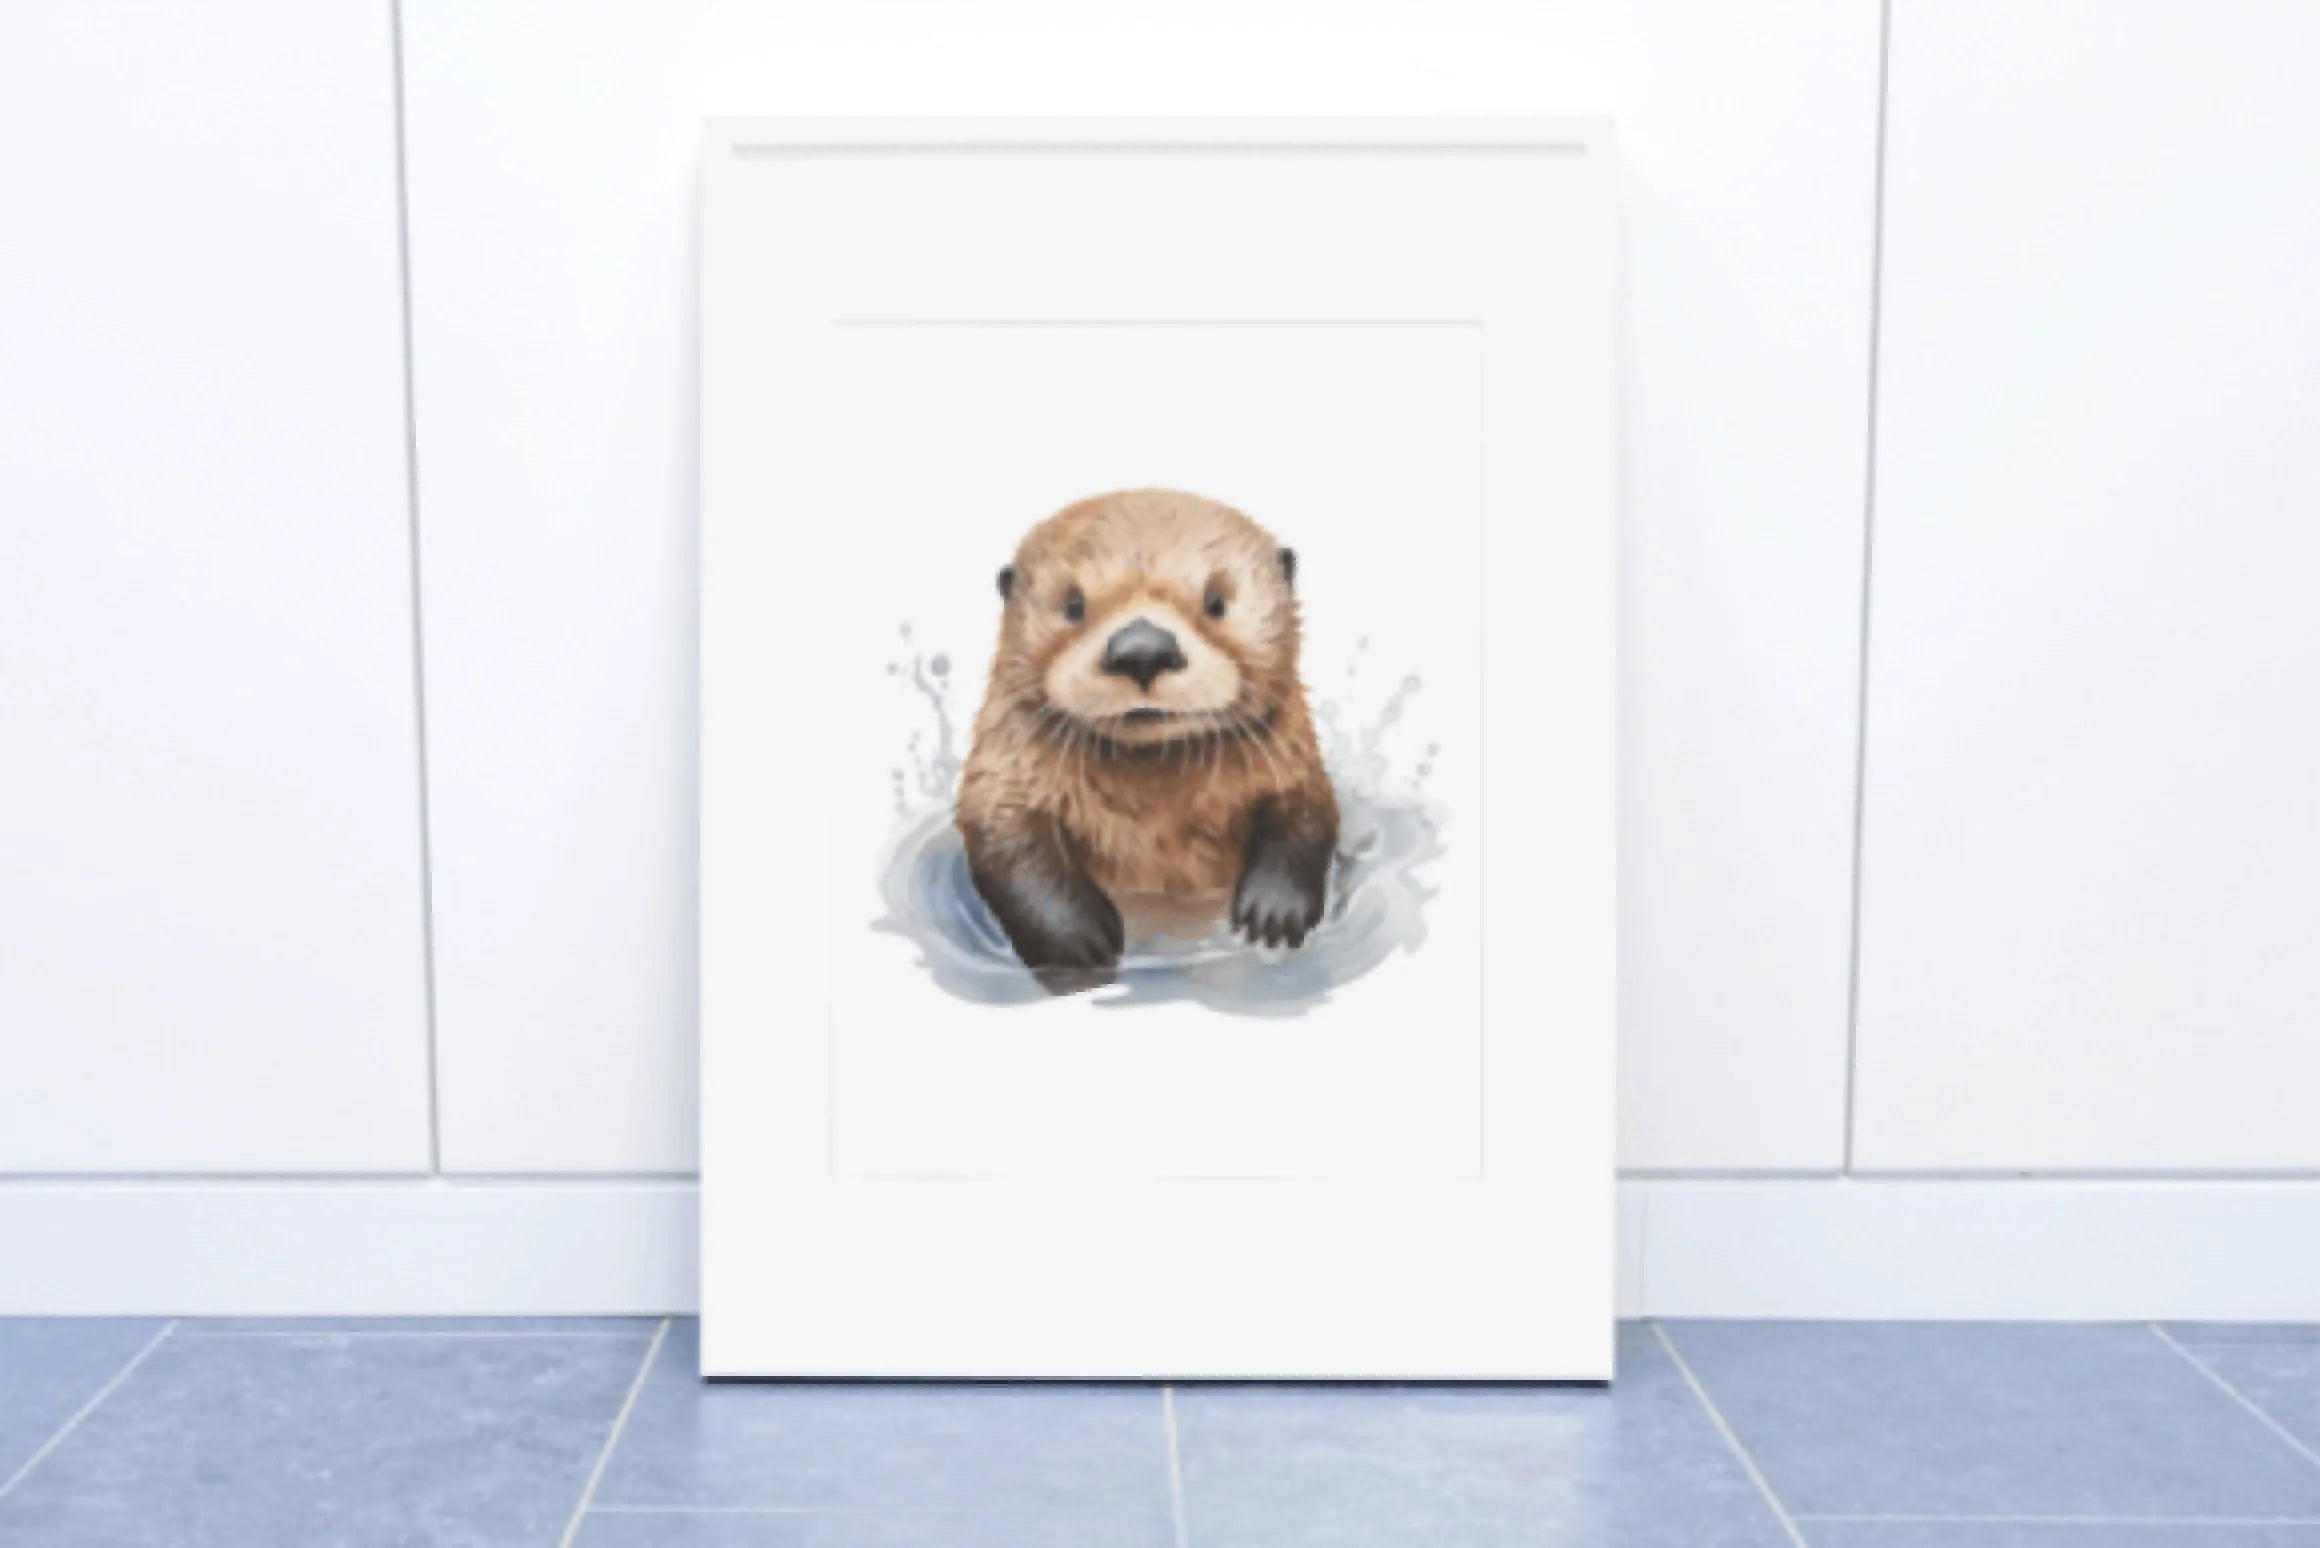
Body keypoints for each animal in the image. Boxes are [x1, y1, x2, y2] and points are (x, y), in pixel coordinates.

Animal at [956, 489, 1340, 989]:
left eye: (1216, 602)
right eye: (1074, 606)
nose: (1142, 651)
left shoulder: (1291, 757)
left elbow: (1308, 812)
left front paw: (1273, 912)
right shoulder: (1004, 769)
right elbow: (1005, 837)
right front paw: (1078, 939)